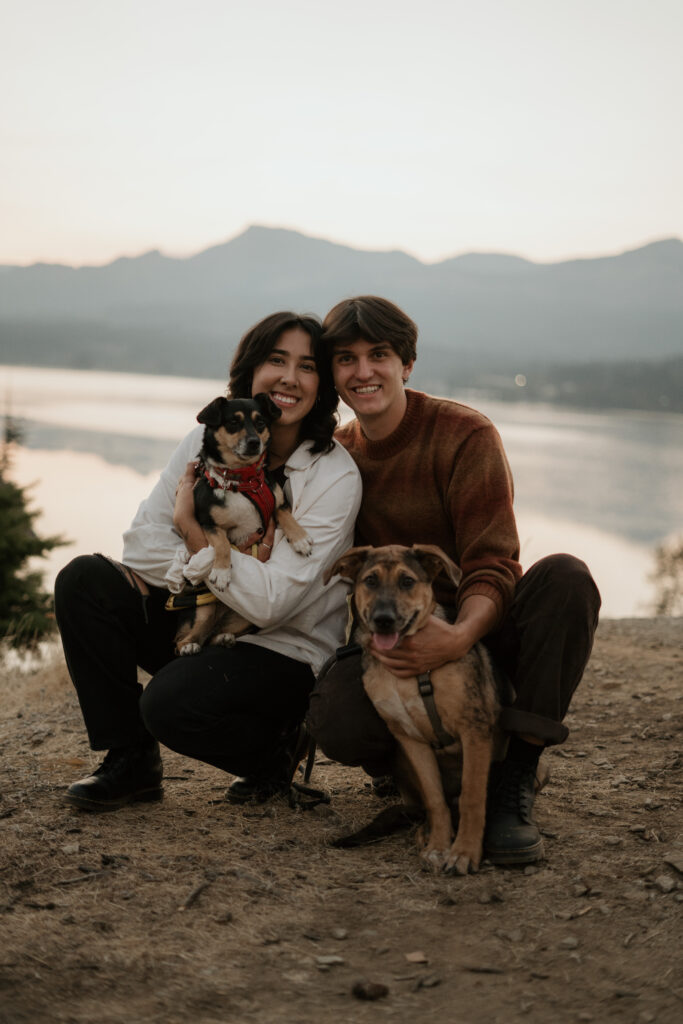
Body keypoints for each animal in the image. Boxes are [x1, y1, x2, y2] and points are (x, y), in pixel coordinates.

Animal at [171, 393, 313, 655]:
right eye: (233, 423)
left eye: (260, 423)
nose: (254, 442)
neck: (242, 480)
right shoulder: (207, 523)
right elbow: (222, 543)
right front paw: (221, 572)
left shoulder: (278, 502)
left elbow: (286, 515)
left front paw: (300, 539)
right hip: (203, 610)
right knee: (183, 640)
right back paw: (188, 646)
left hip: (245, 619)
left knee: (214, 635)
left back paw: (223, 638)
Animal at [323, 544, 499, 872]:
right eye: (370, 581)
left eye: (407, 581)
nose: (383, 619)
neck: (407, 675)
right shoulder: (410, 739)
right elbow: (435, 800)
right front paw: (439, 846)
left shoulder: (475, 728)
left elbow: (471, 796)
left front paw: (465, 852)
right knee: (425, 807)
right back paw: (425, 832)